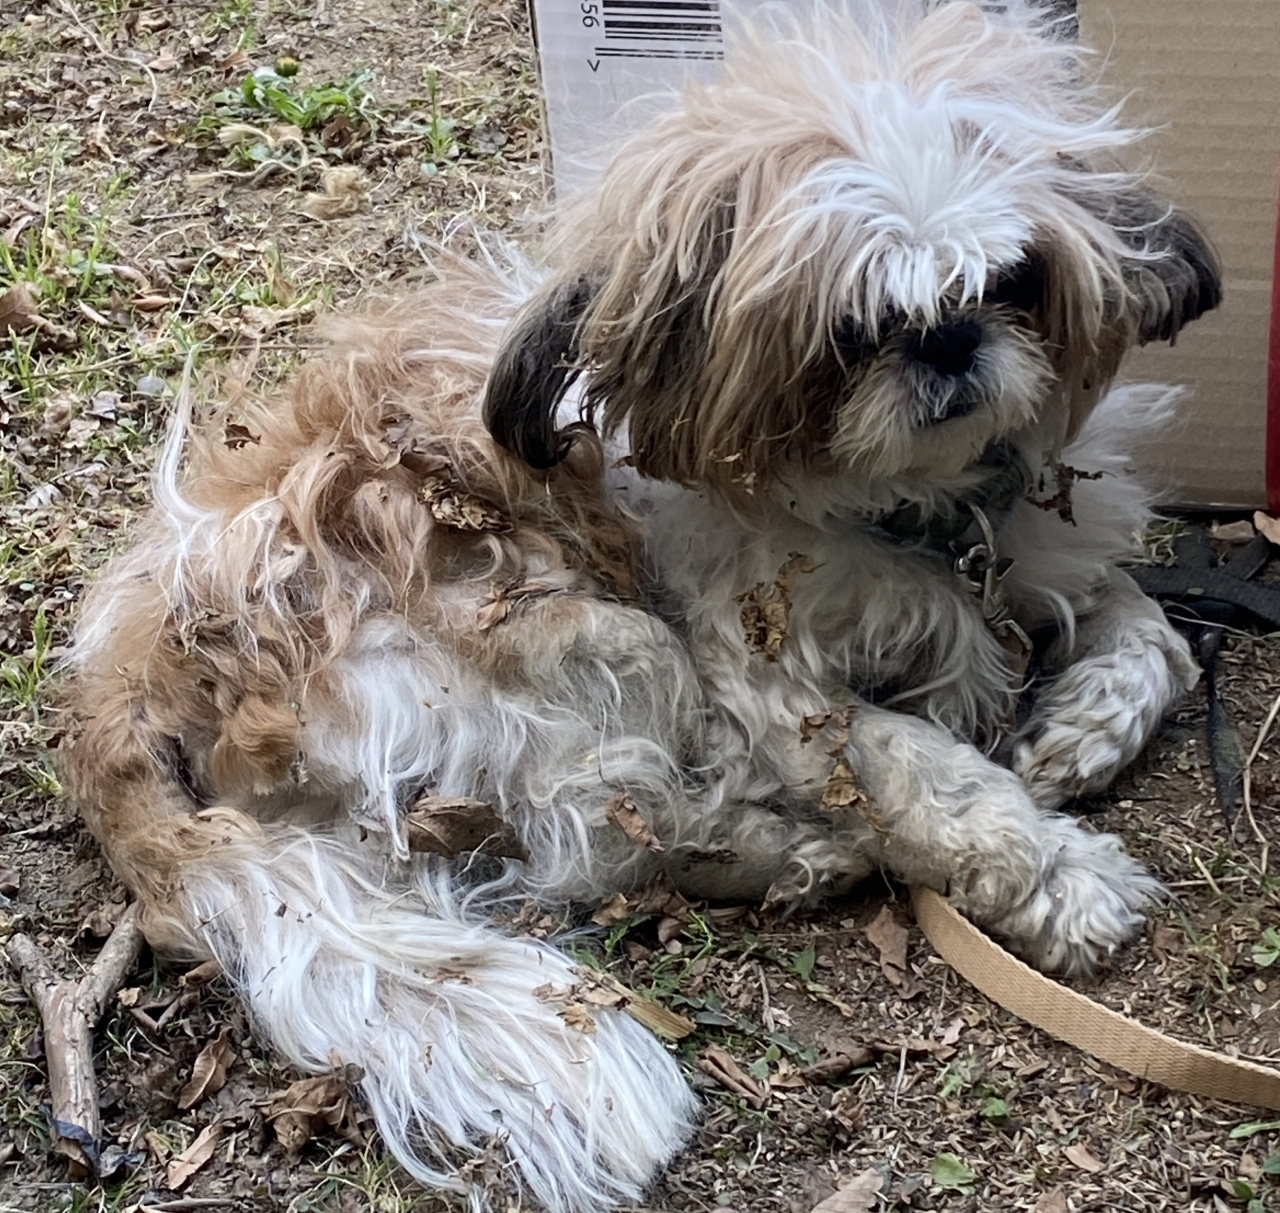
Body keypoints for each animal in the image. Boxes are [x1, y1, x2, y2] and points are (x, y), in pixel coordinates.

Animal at [60, 4, 1218, 1207]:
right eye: (848, 330)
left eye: (1014, 280)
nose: (948, 342)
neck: (915, 512)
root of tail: (127, 681)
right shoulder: (765, 680)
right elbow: (930, 777)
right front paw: (1063, 875)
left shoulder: (1048, 547)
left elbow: (1153, 633)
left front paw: (1081, 727)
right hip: (585, 640)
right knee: (608, 836)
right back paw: (793, 849)